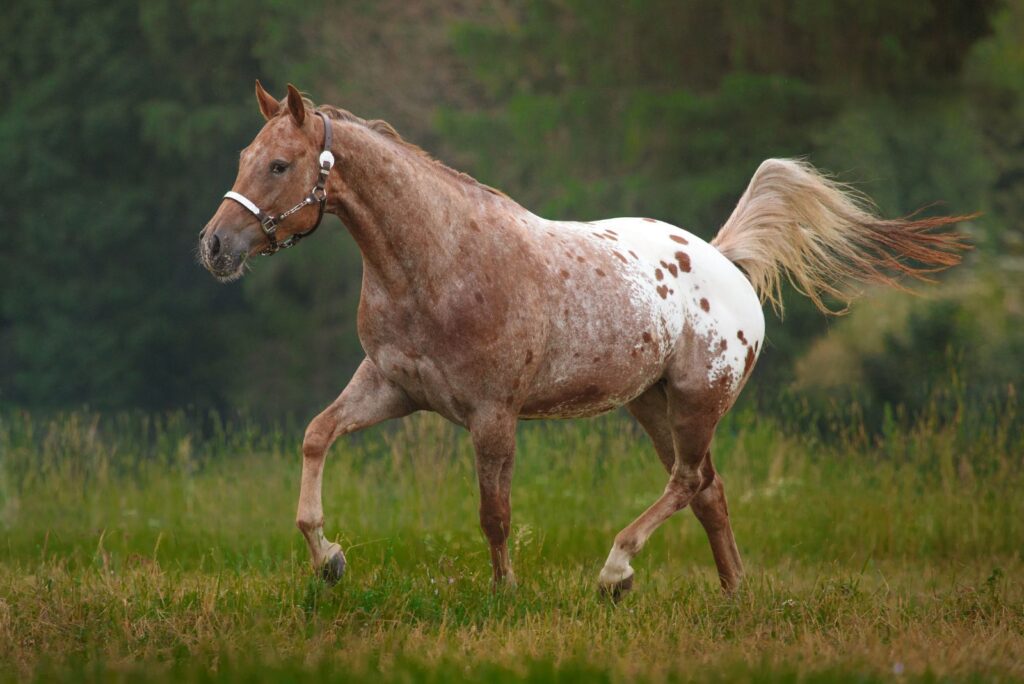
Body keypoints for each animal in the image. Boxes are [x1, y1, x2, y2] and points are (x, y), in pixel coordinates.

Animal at [197, 80, 966, 593]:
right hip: (652, 404)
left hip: (696, 401)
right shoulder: (390, 388)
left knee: (688, 482)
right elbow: (316, 437)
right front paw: (329, 560)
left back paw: (616, 572)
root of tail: (723, 259)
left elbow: (495, 513)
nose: (214, 247)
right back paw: (733, 594)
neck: (437, 261)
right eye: (243, 155)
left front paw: (504, 595)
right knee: (708, 490)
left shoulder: (492, 415)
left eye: (278, 165)